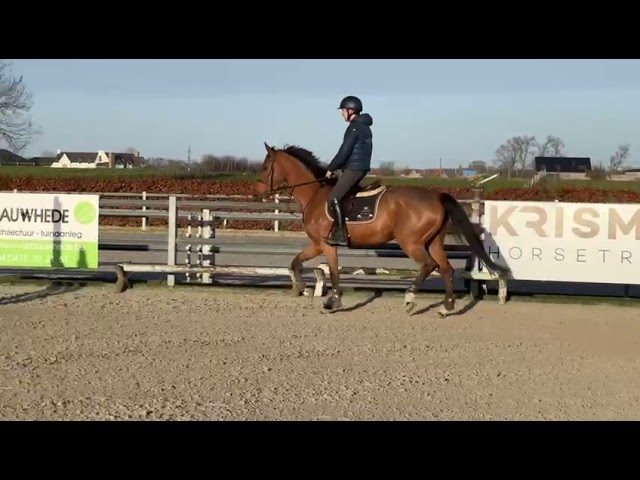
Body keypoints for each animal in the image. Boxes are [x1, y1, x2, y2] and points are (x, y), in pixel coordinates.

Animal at [252, 142, 508, 316]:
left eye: (265, 167)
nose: (257, 192)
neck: (314, 194)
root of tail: (436, 196)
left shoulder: (326, 244)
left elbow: (333, 272)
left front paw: (332, 301)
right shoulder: (317, 244)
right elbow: (295, 261)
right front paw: (301, 288)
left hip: (412, 243)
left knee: (429, 266)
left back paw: (410, 298)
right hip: (433, 242)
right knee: (446, 269)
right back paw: (446, 307)